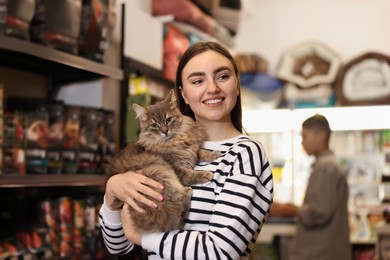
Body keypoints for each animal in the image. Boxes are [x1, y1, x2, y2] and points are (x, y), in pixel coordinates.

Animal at [105, 89, 219, 232]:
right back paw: (187, 192)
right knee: (177, 211)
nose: (165, 131)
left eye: (168, 120)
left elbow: (201, 151)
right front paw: (206, 174)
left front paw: (214, 154)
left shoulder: (191, 149)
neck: (175, 141)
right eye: (155, 125)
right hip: (160, 170)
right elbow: (191, 174)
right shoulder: (176, 168)